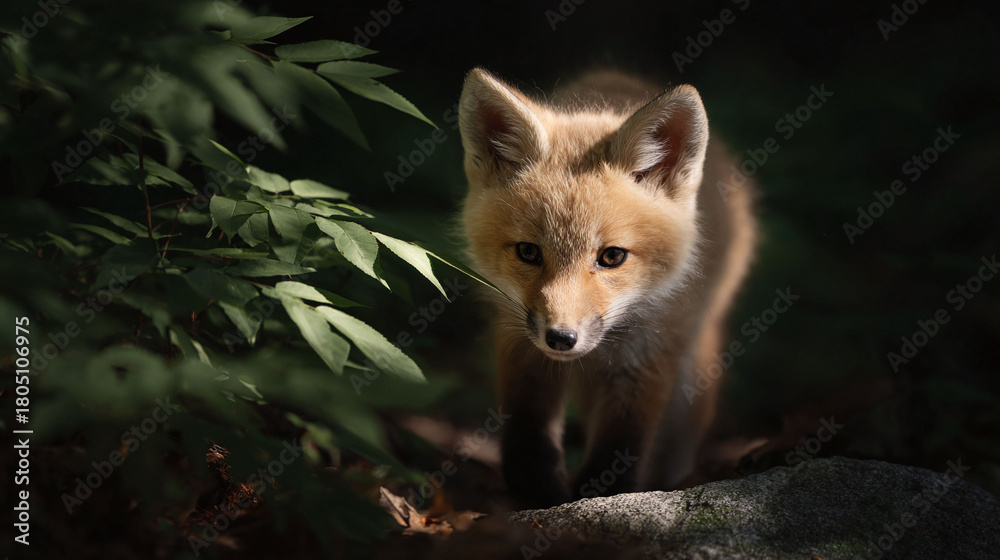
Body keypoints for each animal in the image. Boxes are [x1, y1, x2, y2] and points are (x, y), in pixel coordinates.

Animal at [457, 68, 756, 508]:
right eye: (528, 252)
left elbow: (620, 450)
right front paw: (540, 497)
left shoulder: (649, 356)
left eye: (612, 257)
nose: (561, 338)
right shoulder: (520, 345)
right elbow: (528, 436)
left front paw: (599, 500)